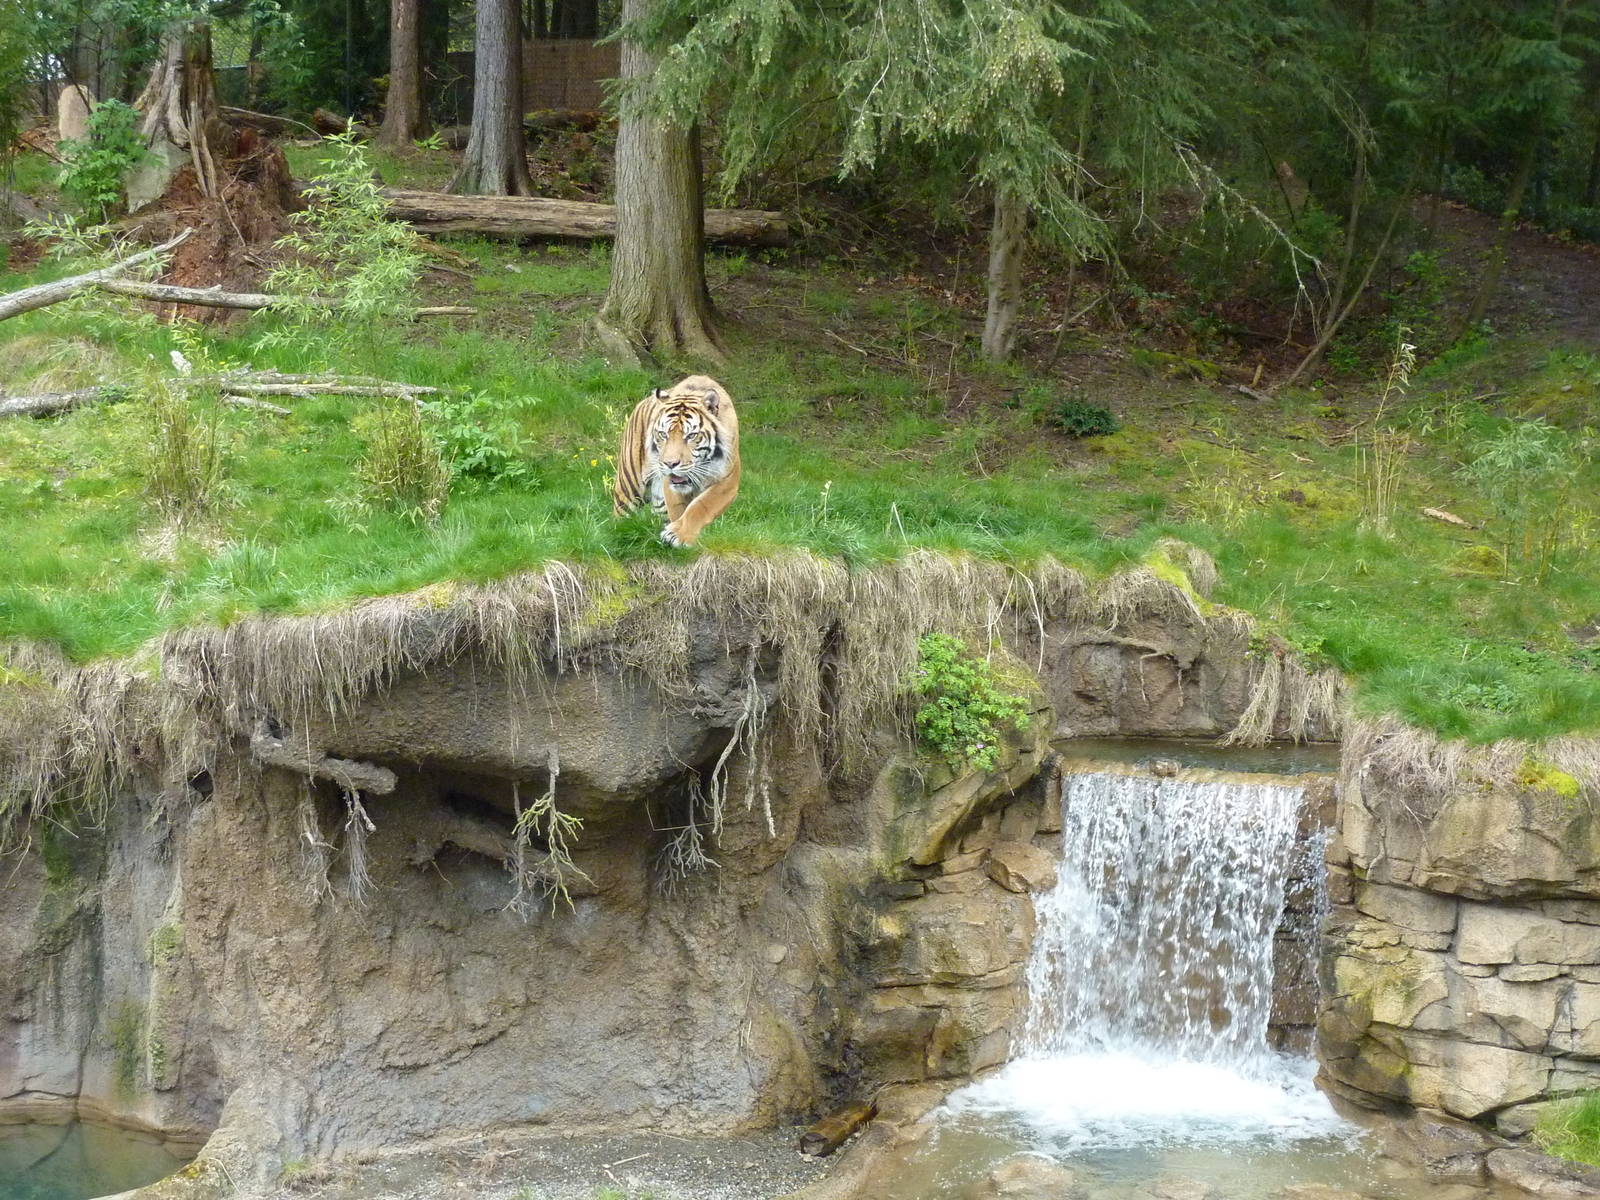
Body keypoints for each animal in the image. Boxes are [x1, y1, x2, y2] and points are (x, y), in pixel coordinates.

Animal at [612, 375, 741, 548]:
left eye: (691, 435)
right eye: (663, 434)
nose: (670, 464)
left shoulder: (728, 480)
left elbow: (701, 505)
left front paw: (679, 535)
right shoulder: (671, 484)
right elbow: (679, 509)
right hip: (628, 489)